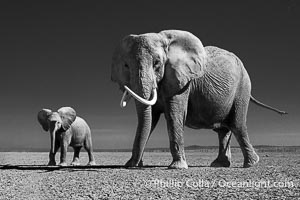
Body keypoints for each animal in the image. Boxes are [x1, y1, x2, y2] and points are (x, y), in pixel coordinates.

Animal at [110, 29, 286, 169]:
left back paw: (251, 164)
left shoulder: (182, 82)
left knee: (237, 124)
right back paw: (219, 164)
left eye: (157, 63)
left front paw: (177, 167)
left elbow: (174, 115)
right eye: (126, 66)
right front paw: (131, 164)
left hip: (243, 87)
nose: (133, 165)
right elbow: (150, 118)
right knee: (223, 130)